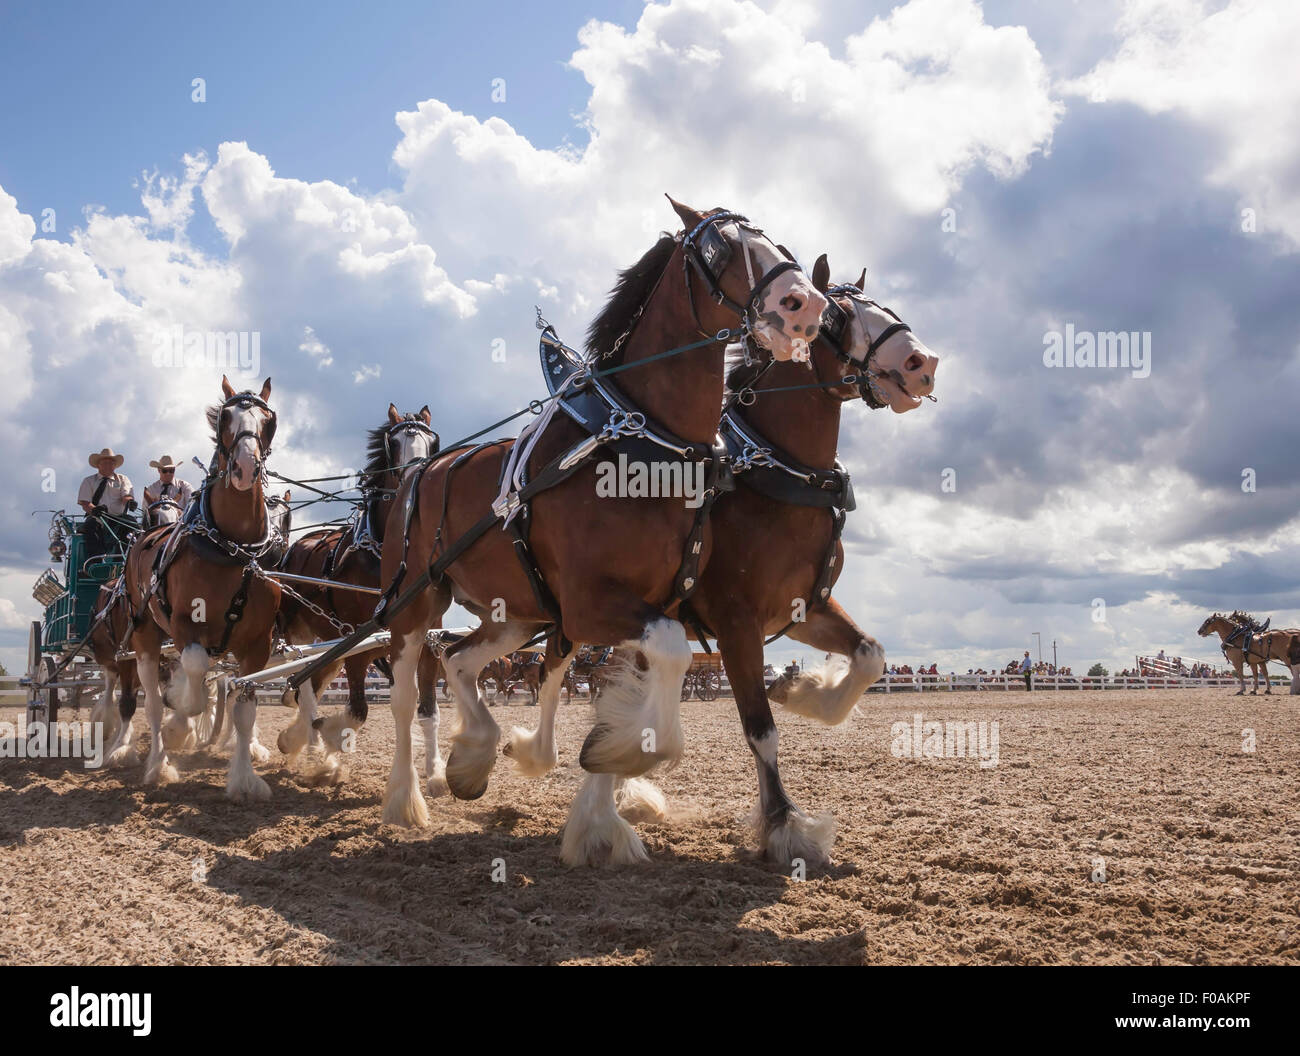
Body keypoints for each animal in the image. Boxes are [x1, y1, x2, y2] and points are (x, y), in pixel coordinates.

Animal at [113, 377, 287, 799]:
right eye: (225, 416)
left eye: (269, 420)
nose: (244, 468)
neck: (234, 547)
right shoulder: (184, 625)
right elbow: (190, 676)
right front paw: (181, 723)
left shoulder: (257, 644)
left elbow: (244, 711)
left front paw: (244, 779)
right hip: (144, 635)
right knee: (151, 703)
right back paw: (159, 763)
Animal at [276, 404, 442, 786]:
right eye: (394, 444)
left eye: (431, 441)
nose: (416, 475)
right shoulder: (357, 643)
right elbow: (356, 713)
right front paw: (327, 747)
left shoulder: (428, 639)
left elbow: (428, 710)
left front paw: (436, 773)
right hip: (300, 636)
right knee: (301, 683)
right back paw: (307, 742)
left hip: (327, 645)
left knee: (309, 684)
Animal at [339, 199, 826, 865]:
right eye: (719, 248)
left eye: (777, 242)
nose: (806, 304)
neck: (639, 445)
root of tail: (419, 472)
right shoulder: (590, 604)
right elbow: (670, 656)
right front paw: (617, 760)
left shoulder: (644, 603)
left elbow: (643, 675)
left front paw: (609, 787)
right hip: (413, 604)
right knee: (411, 692)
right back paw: (406, 799)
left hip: (515, 611)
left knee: (461, 660)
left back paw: (474, 758)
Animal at [505, 256, 939, 867]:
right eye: (837, 315)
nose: (921, 364)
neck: (776, 477)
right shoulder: (737, 622)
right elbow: (759, 726)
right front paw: (785, 826)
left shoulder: (804, 609)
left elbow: (869, 656)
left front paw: (805, 693)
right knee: (552, 672)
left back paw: (609, 801)